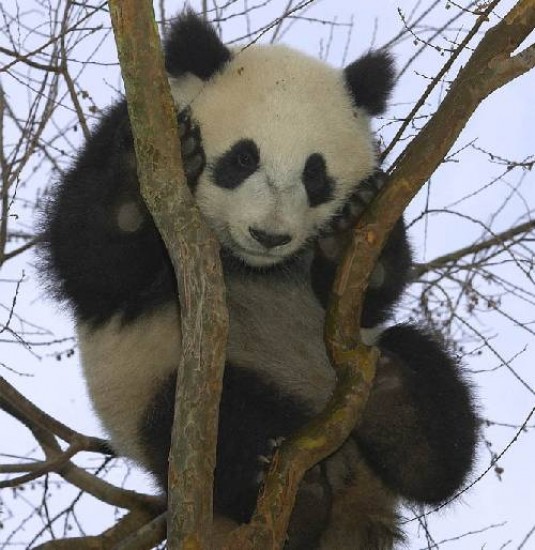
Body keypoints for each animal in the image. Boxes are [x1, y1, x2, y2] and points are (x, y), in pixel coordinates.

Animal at [39, 9, 480, 550]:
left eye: (315, 175)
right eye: (242, 159)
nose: (269, 235)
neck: (247, 264)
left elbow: (376, 295)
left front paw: (350, 235)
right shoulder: (130, 129)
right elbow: (93, 268)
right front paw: (137, 188)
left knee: (425, 379)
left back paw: (400, 412)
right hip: (156, 387)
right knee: (215, 422)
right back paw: (289, 492)